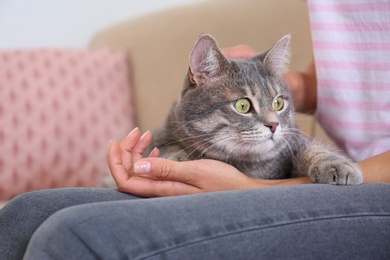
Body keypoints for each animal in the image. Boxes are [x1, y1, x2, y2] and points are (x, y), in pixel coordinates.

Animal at [148, 34, 362, 185]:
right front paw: (177, 155)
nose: (274, 125)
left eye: (278, 103)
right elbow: (164, 145)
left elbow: (316, 148)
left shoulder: (295, 140)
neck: (250, 165)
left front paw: (337, 165)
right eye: (242, 105)